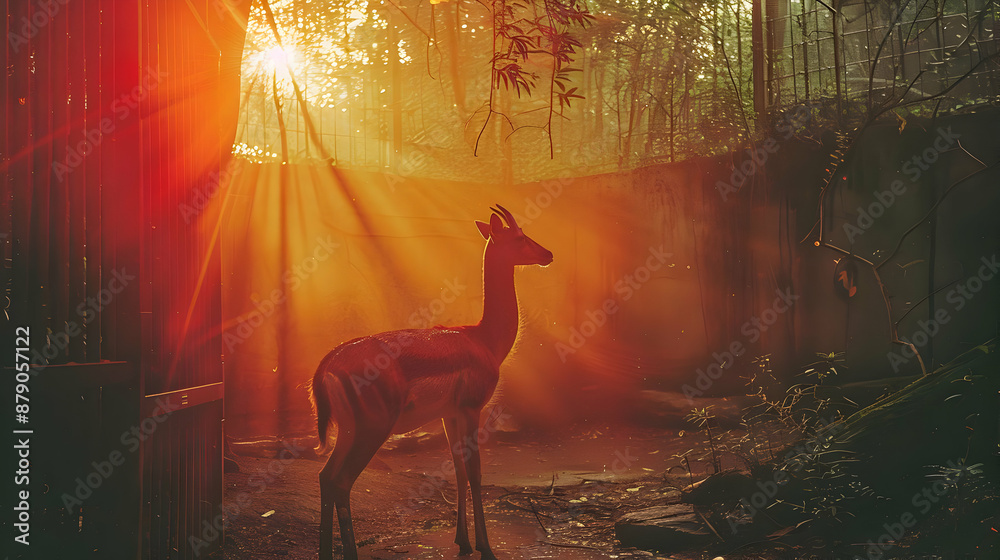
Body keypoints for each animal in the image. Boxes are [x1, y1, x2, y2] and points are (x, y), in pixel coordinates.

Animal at [308, 207, 552, 560]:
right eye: (520, 237)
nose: (548, 254)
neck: (481, 338)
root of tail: (328, 364)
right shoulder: (471, 410)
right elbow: (476, 473)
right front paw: (486, 548)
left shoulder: (448, 415)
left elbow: (459, 471)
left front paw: (464, 542)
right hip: (371, 431)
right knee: (341, 482)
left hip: (348, 431)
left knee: (326, 477)